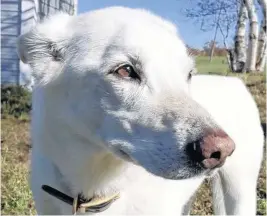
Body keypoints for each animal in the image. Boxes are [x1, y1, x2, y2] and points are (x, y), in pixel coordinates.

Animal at [17, 6, 266, 216]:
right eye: (125, 71)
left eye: (188, 74)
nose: (220, 150)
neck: (96, 190)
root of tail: (233, 81)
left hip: (240, 190)